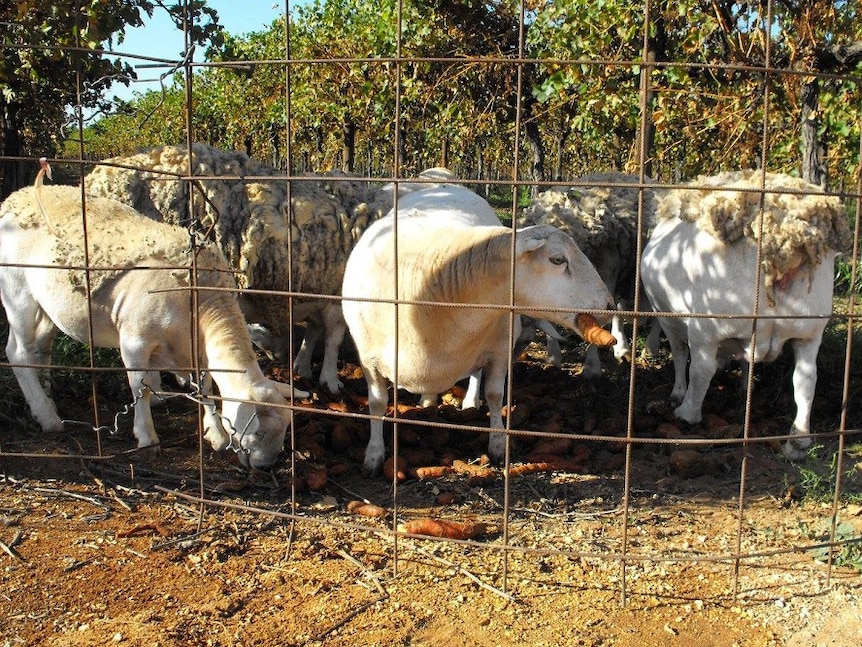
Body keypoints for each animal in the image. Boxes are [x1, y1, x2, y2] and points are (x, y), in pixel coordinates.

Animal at [0, 167, 310, 470]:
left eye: (285, 429)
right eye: (258, 432)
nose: (266, 467)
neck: (203, 301)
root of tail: (16, 197)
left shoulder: (196, 348)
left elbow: (206, 387)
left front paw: (215, 432)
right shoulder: (134, 341)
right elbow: (141, 387)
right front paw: (147, 437)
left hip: (47, 307)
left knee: (40, 349)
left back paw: (47, 399)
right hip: (16, 292)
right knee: (18, 352)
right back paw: (46, 415)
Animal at [84, 144, 392, 392]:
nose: (277, 355)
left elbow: (316, 331)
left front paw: (302, 367)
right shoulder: (335, 293)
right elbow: (333, 338)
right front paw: (330, 379)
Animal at [340, 182, 616, 476]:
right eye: (557, 259)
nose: (610, 305)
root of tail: (448, 185)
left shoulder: (499, 349)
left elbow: (495, 395)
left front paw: (498, 445)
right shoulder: (368, 357)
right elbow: (377, 402)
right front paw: (373, 454)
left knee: (475, 373)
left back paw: (469, 402)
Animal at [640, 170, 852, 458]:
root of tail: (780, 240)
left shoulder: (667, 317)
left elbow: (680, 354)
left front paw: (678, 394)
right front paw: (744, 386)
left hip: (707, 324)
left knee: (701, 369)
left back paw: (687, 412)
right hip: (809, 330)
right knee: (806, 378)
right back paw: (798, 439)